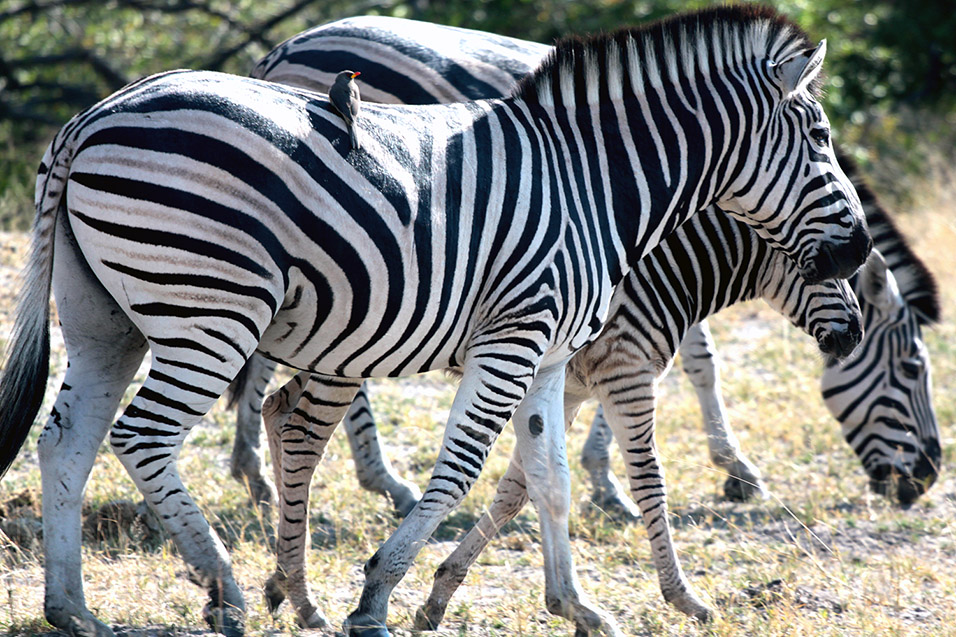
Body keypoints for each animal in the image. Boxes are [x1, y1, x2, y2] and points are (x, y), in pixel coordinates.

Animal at [0, 6, 872, 636]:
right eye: (821, 135)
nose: (860, 247)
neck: (592, 181)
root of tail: (90, 118)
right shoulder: (514, 336)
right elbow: (458, 469)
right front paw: (378, 594)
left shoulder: (551, 354)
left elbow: (549, 478)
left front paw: (577, 605)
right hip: (212, 307)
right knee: (143, 436)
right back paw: (224, 588)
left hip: (105, 319)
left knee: (66, 439)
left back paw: (73, 608)